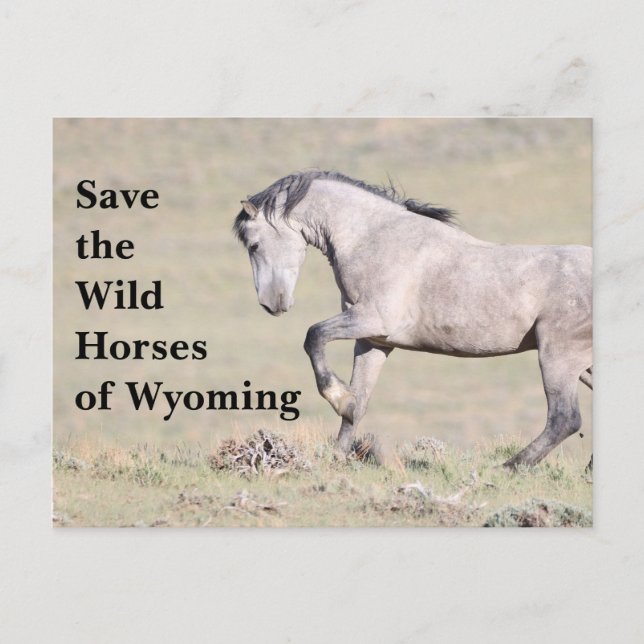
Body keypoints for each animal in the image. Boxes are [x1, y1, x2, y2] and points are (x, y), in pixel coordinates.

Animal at [233, 170, 592, 468]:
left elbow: (314, 335)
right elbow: (359, 402)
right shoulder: (372, 341)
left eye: (254, 244)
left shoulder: (371, 320)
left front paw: (338, 397)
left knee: (564, 419)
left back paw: (509, 467)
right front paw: (337, 456)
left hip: (558, 356)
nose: (271, 303)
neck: (371, 238)